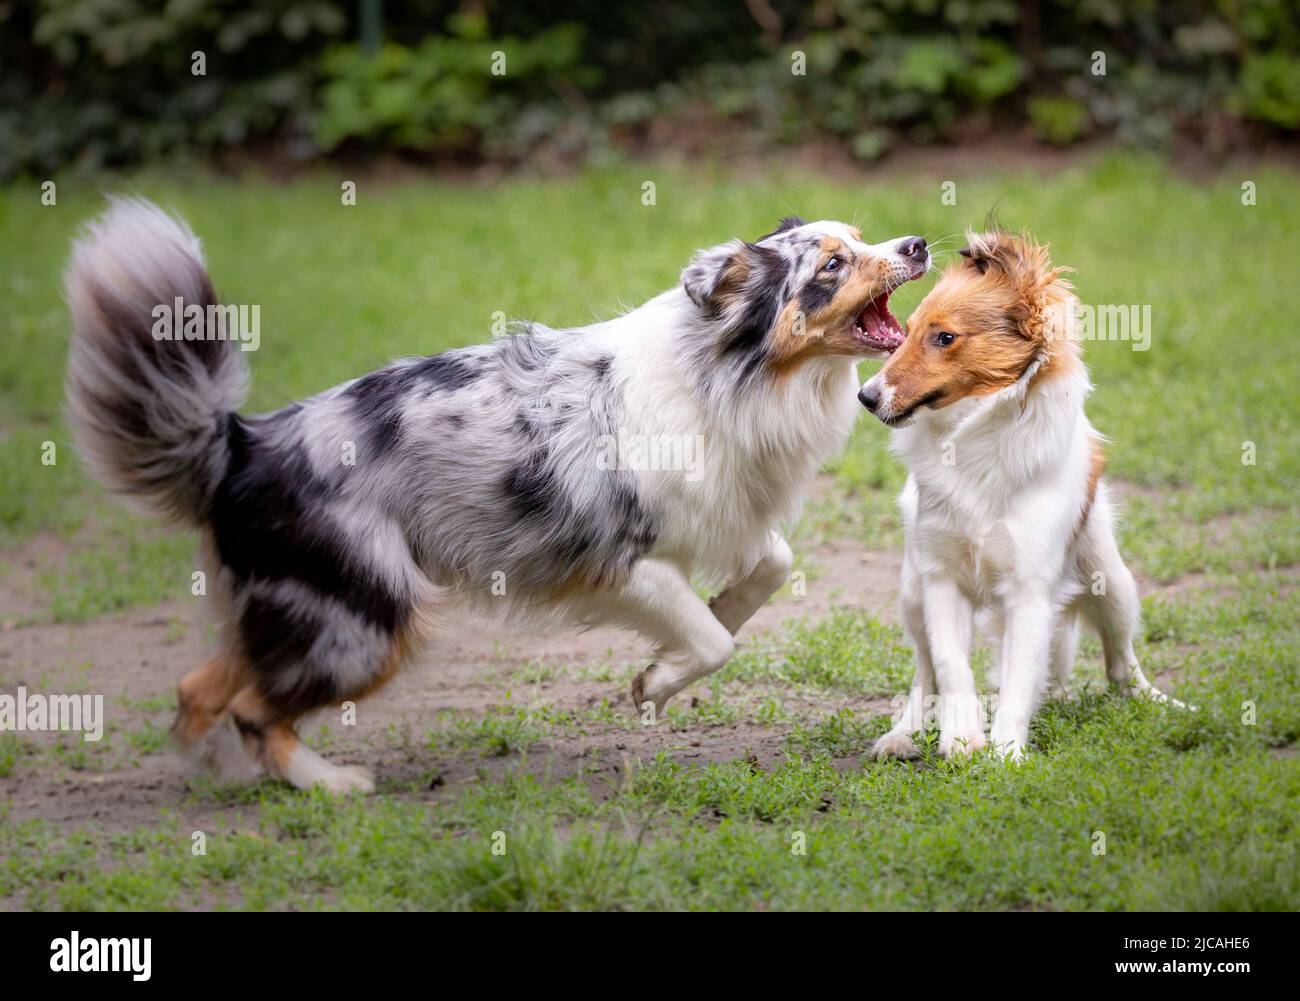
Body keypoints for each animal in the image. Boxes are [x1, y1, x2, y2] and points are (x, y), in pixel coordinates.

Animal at [65, 195, 930, 790]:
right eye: (832, 264)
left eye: (862, 240)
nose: (919, 242)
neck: (726, 375)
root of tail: (244, 442)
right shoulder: (619, 558)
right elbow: (715, 640)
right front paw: (657, 679)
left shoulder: (725, 513)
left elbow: (767, 570)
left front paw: (684, 644)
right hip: (369, 614)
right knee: (253, 703)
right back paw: (328, 783)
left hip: (307, 607)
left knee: (203, 684)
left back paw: (219, 770)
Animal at [857, 230, 1185, 759]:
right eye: (905, 331)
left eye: (944, 337)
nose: (865, 397)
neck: (973, 433)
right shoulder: (940, 581)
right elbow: (951, 668)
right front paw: (962, 740)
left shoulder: (1030, 592)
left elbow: (1018, 679)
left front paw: (1006, 755)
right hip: (912, 592)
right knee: (924, 673)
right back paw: (904, 732)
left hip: (1111, 582)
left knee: (1121, 665)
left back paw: (1159, 703)